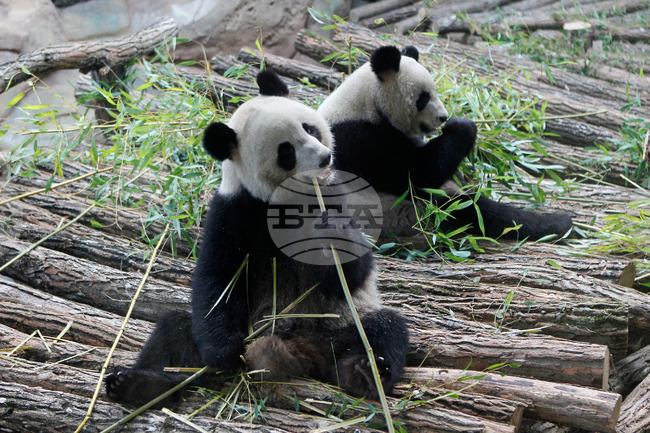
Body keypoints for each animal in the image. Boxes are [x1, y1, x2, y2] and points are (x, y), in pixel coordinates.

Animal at [105, 70, 409, 407]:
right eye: (286, 152)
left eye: (310, 128)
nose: (324, 158)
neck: (286, 202)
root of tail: (302, 352)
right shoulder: (234, 212)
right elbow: (219, 279)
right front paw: (224, 354)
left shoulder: (334, 194)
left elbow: (352, 274)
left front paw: (330, 230)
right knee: (173, 331)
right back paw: (138, 384)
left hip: (342, 323)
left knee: (384, 329)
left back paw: (364, 373)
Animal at [318, 45, 573, 242]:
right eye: (423, 98)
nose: (443, 117)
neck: (367, 103)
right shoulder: (363, 140)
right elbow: (416, 174)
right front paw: (462, 126)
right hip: (402, 212)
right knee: (470, 210)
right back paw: (556, 223)